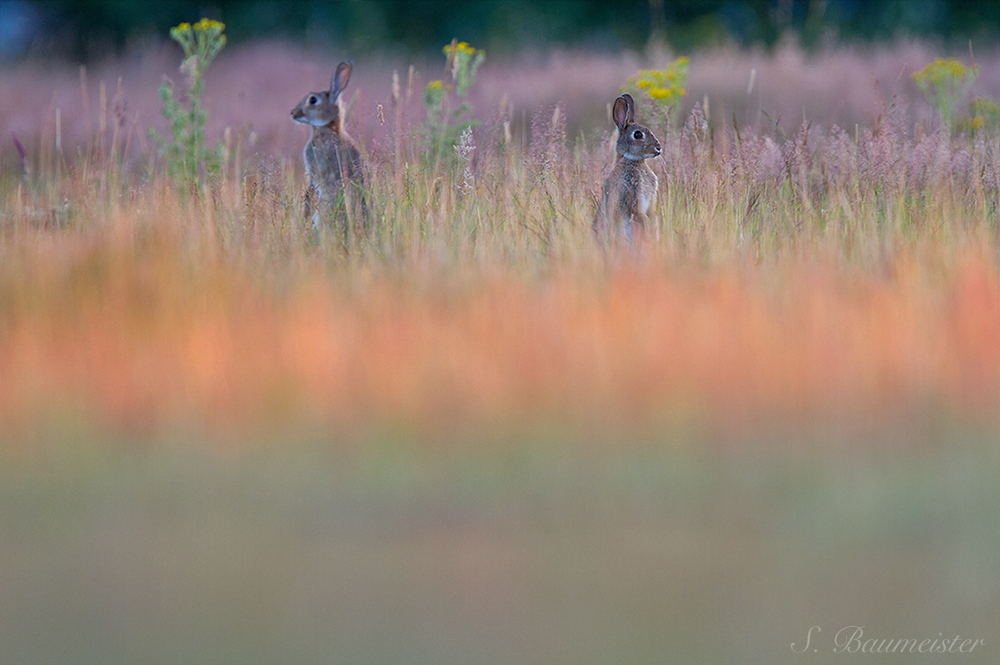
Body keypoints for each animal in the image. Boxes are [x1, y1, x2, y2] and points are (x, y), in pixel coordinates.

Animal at [592, 92, 664, 240]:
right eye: (638, 134)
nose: (658, 148)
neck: (634, 160)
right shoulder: (630, 191)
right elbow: (638, 212)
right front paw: (648, 228)